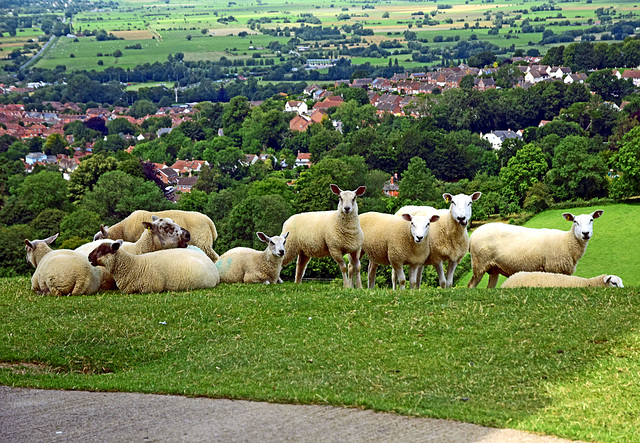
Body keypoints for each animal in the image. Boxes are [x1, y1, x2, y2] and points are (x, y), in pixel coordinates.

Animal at [468, 211, 604, 290]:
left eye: (591, 220)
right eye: (575, 221)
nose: (585, 233)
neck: (567, 242)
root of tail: (473, 235)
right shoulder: (552, 269)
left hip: (493, 268)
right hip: (479, 264)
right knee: (470, 285)